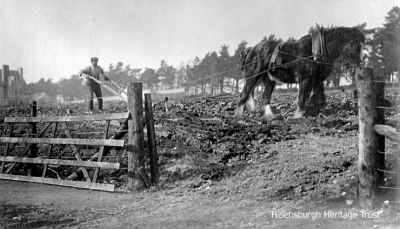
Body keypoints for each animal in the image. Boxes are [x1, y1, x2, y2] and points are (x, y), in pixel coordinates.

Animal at [234, 26, 366, 120]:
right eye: (357, 47)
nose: (359, 65)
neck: (316, 53)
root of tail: (251, 50)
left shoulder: (316, 81)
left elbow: (318, 99)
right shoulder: (305, 80)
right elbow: (302, 99)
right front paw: (298, 117)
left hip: (269, 79)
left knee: (265, 97)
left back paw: (271, 117)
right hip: (253, 76)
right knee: (244, 94)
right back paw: (238, 117)